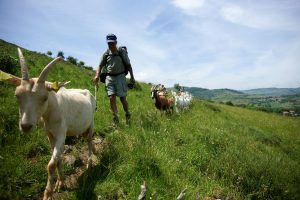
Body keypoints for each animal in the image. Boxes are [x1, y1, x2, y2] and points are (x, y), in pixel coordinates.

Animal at [4, 48, 96, 200]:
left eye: (44, 98)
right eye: (17, 95)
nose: (25, 126)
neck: (53, 106)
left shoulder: (61, 134)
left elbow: (51, 164)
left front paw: (48, 193)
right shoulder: (50, 134)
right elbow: (57, 159)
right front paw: (61, 182)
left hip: (91, 123)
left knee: (89, 141)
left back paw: (89, 163)